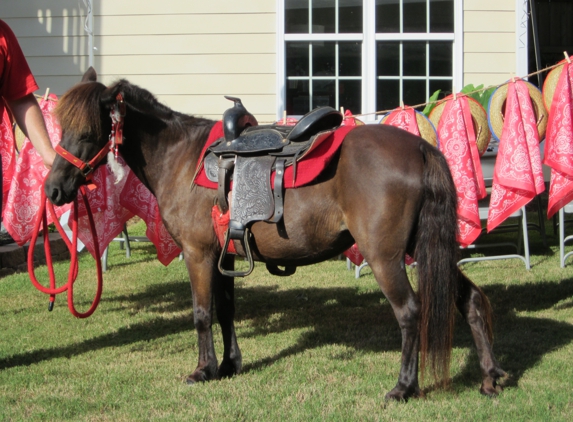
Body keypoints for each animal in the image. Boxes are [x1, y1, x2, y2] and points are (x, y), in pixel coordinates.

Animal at [45, 67, 504, 400]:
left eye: (87, 132)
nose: (53, 189)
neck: (182, 156)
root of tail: (420, 147)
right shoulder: (224, 255)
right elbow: (225, 311)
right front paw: (228, 365)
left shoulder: (197, 253)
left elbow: (200, 313)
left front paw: (202, 370)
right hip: (425, 248)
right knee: (471, 301)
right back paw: (489, 376)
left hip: (385, 256)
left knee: (409, 312)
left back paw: (404, 387)